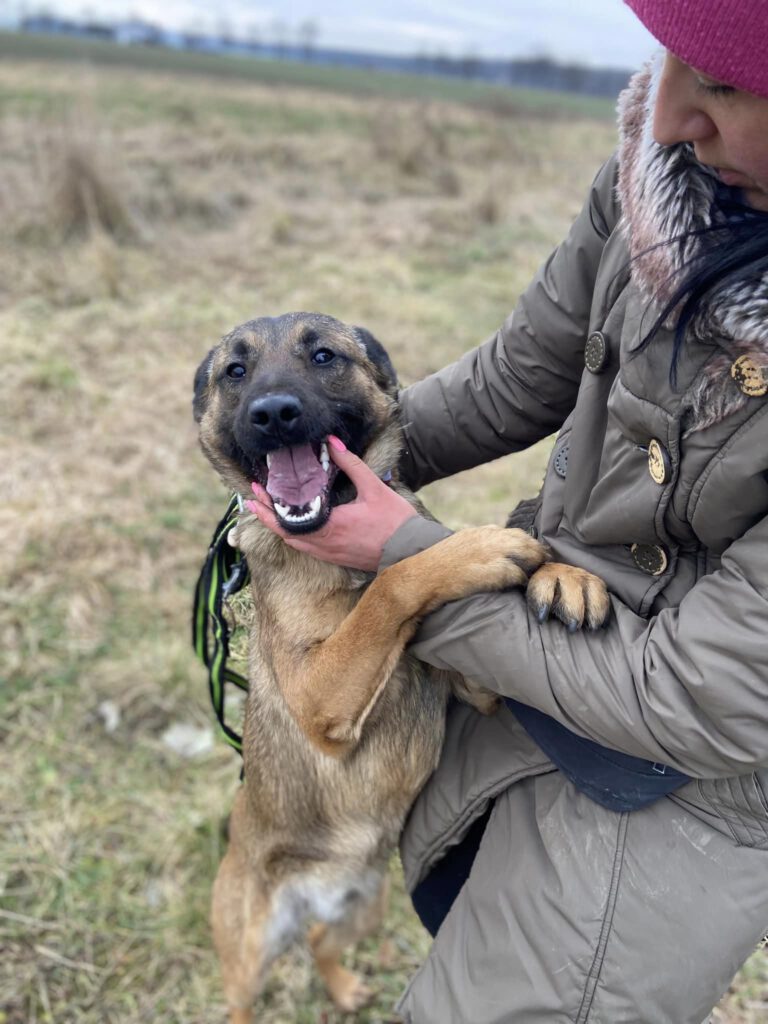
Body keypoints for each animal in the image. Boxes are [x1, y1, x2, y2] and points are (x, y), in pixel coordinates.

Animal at [191, 313, 606, 1024]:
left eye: (323, 356)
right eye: (234, 372)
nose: (273, 414)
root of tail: (316, 892)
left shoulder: (477, 685)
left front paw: (562, 573)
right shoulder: (319, 694)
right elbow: (394, 579)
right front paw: (473, 550)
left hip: (366, 909)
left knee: (322, 943)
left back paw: (347, 988)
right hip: (248, 950)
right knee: (241, 998)